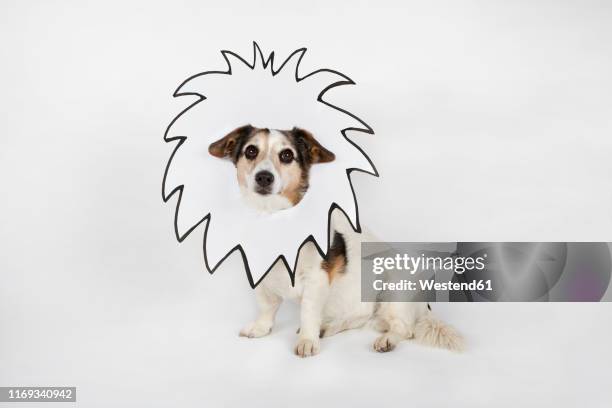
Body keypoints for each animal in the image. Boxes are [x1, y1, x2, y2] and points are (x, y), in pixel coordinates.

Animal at [208, 124, 462, 356]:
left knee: (404, 328)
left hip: (394, 288)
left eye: (287, 155)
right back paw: (329, 326)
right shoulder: (261, 276)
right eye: (251, 151)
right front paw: (261, 328)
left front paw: (307, 340)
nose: (264, 177)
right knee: (362, 317)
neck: (275, 219)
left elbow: (308, 312)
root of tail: (424, 307)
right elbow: (266, 305)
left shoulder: (316, 278)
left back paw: (386, 339)